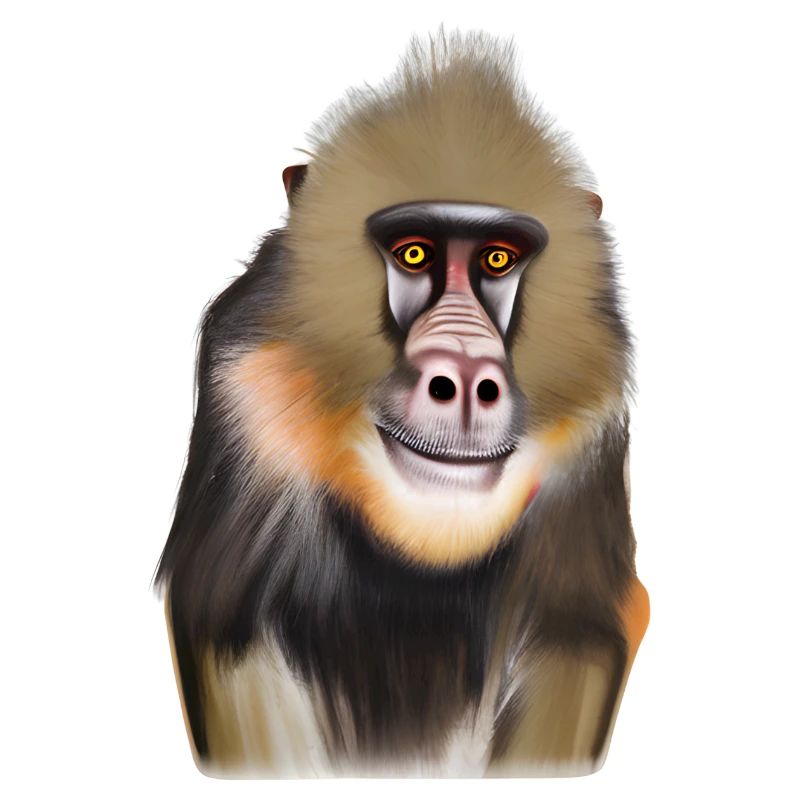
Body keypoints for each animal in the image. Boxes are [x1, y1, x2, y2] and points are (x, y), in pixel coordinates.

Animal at [155, 29, 649, 778]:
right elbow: (230, 630)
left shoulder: (588, 444)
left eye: (498, 259)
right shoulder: (247, 401)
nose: (466, 378)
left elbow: (574, 638)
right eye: (414, 253)